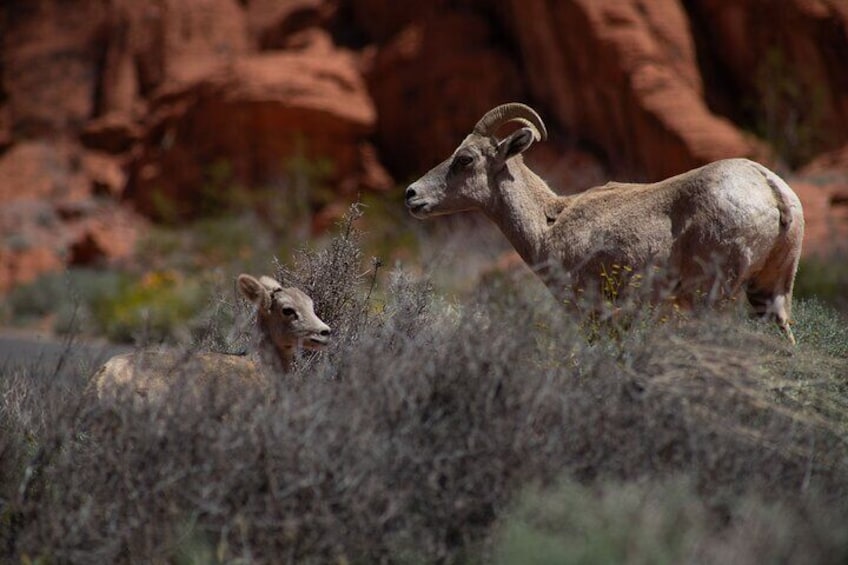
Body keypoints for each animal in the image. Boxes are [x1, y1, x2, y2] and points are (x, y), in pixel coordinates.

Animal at [408, 102, 804, 342]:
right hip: (771, 293)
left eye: (465, 159)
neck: (549, 224)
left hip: (712, 295)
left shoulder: (589, 310)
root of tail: (771, 190)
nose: (412, 195)